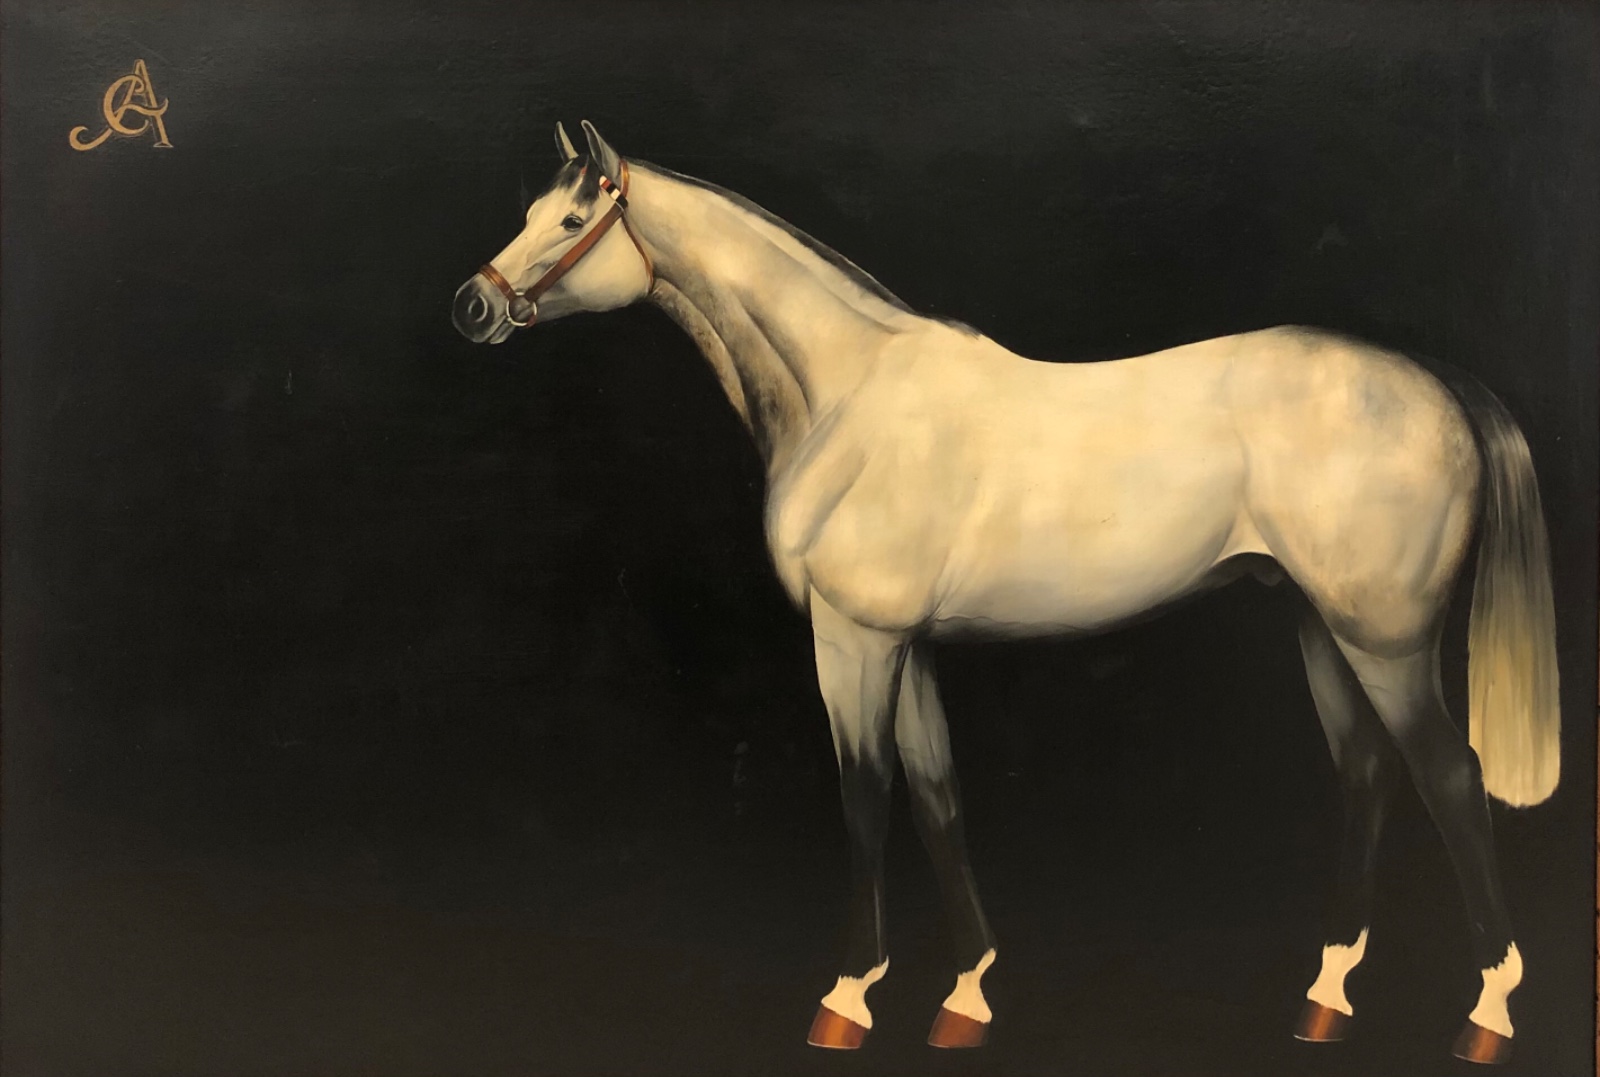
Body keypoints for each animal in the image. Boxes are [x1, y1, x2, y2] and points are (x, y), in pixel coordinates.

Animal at [451, 121, 1559, 1064]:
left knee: (1449, 778)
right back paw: (1324, 1001)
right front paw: (967, 997)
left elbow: (865, 797)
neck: (848, 397)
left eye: (569, 221)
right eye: (533, 209)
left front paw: (846, 1000)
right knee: (1367, 774)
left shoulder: (852, 639)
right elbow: (938, 797)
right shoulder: (907, 643)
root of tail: (1435, 382)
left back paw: (1488, 1014)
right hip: (1321, 626)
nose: (474, 302)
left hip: (1385, 640)